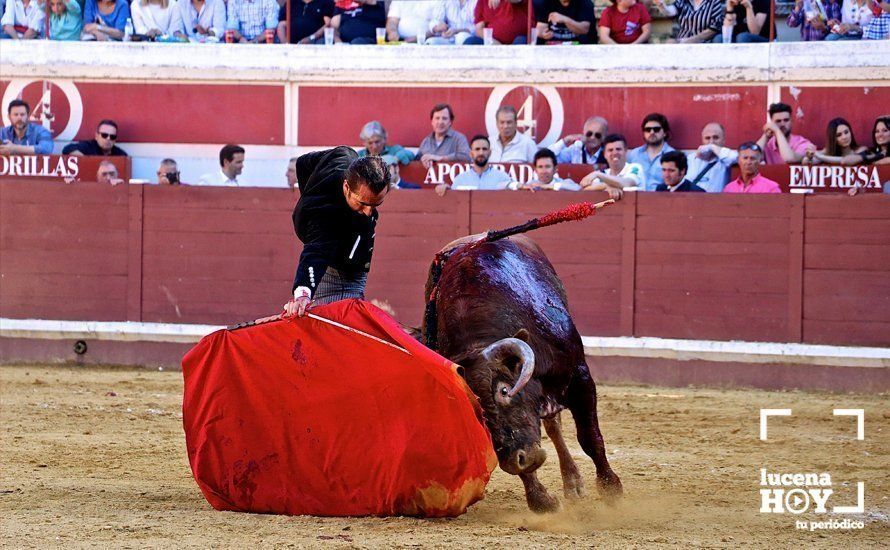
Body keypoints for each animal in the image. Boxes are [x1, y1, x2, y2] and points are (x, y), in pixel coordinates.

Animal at [424, 233, 620, 512]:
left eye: (505, 390)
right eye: (475, 411)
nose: (519, 460)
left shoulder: (580, 379)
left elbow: (590, 439)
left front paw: (611, 488)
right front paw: (542, 500)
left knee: (555, 426)